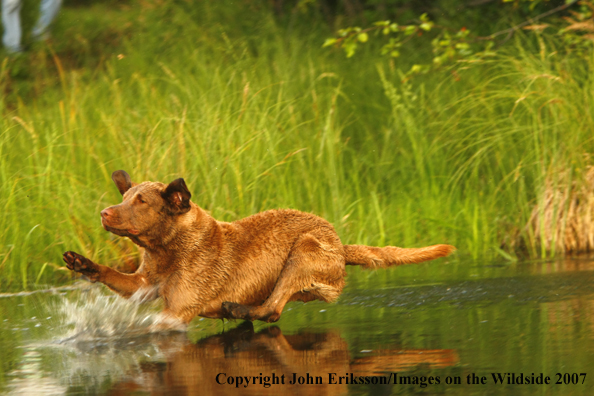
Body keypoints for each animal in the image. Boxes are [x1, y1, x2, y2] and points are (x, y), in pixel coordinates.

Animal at [62, 172, 454, 324]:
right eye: (125, 196)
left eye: (141, 201)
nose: (104, 213)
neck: (169, 249)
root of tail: (342, 246)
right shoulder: (143, 283)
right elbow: (115, 275)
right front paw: (80, 262)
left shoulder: (179, 309)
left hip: (304, 252)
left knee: (273, 309)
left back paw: (238, 309)